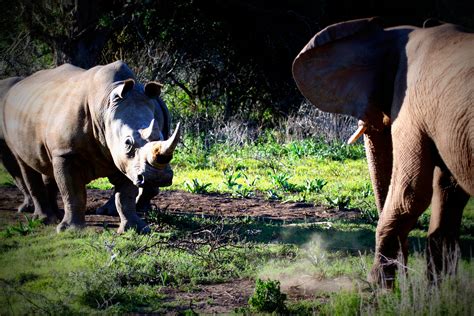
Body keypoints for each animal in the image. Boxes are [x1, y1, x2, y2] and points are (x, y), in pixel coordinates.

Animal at [294, 17, 472, 286]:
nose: (405, 275)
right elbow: (448, 191)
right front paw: (437, 293)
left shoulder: (411, 109)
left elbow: (410, 193)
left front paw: (378, 290)